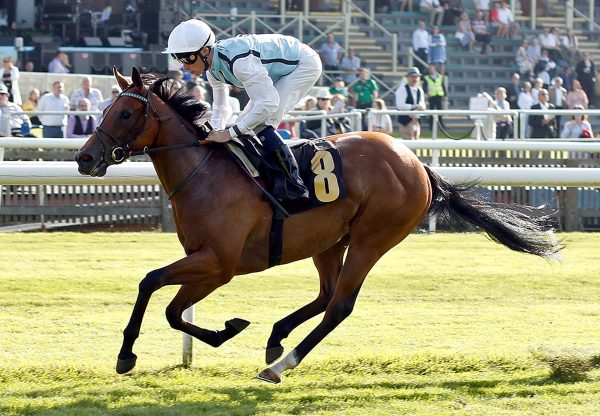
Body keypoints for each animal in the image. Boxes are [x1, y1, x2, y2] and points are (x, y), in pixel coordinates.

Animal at [75, 67, 564, 384]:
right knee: (327, 294)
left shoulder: (218, 264)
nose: (84, 158)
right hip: (329, 240)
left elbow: (158, 292)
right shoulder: (205, 261)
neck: (205, 172)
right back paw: (276, 338)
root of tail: (418, 164)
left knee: (339, 306)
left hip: (372, 239)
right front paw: (222, 331)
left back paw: (279, 365)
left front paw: (136, 352)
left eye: (125, 114)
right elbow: (165, 302)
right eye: (106, 108)